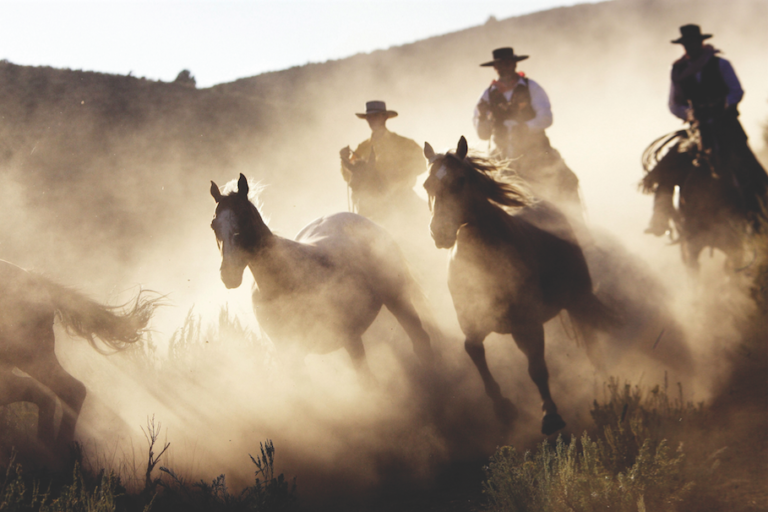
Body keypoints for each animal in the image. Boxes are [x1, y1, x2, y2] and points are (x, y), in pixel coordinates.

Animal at [210, 175, 432, 380]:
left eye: (244, 217)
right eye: (214, 225)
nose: (228, 274)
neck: (285, 280)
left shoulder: (348, 337)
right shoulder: (291, 355)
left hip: (396, 300)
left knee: (419, 341)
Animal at [424, 137, 616, 436]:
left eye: (460, 180)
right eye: (426, 185)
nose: (439, 232)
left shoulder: (528, 324)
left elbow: (536, 368)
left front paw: (551, 417)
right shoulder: (474, 323)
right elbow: (474, 351)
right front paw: (503, 408)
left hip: (578, 299)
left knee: (591, 341)